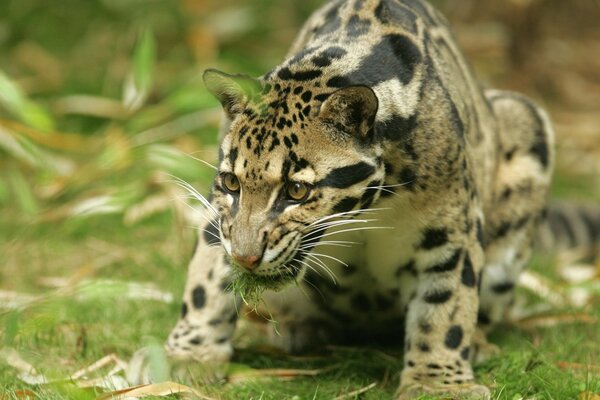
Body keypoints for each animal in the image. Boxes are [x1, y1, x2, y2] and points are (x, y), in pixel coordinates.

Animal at [162, 0, 596, 398]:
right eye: (232, 183)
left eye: (297, 191)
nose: (246, 259)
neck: (367, 208)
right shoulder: (222, 218)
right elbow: (206, 281)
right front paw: (190, 357)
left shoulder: (451, 231)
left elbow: (445, 308)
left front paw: (437, 383)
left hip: (523, 120)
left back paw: (478, 345)